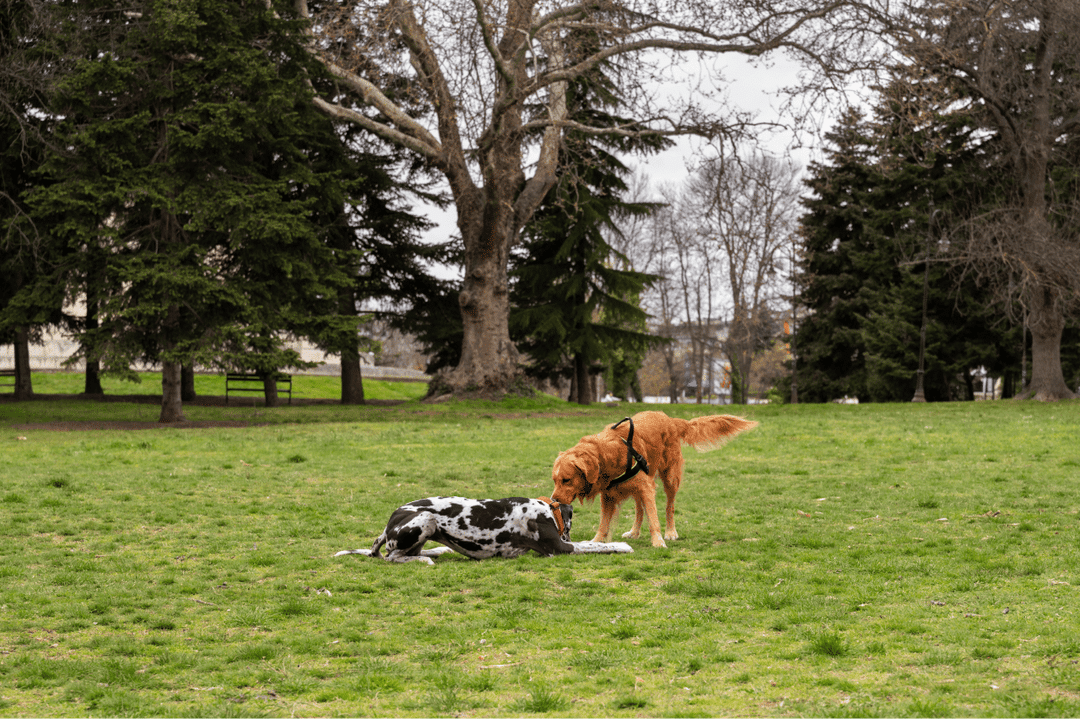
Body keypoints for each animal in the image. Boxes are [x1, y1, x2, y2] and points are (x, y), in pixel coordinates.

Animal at [552, 412, 756, 546]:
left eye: (566, 480)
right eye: (554, 480)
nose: (553, 500)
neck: (609, 452)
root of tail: (670, 419)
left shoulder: (647, 488)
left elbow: (654, 519)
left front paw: (658, 541)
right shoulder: (609, 495)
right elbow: (603, 524)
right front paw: (596, 541)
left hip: (670, 478)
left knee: (669, 507)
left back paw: (671, 532)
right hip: (637, 488)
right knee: (639, 510)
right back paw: (634, 531)